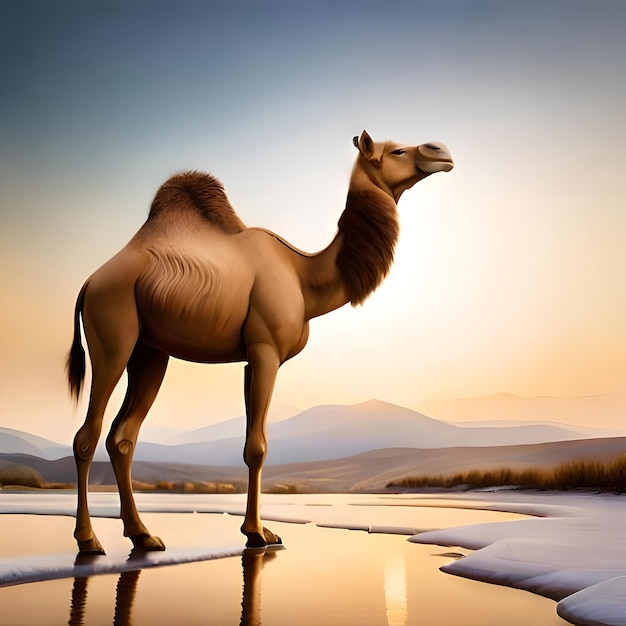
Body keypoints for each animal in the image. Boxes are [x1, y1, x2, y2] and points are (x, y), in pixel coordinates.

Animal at [66, 130, 450, 552]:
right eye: (397, 150)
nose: (441, 152)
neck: (305, 277)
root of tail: (89, 283)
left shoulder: (251, 357)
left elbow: (253, 442)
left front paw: (263, 531)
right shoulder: (266, 350)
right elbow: (257, 447)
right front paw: (256, 533)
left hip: (150, 352)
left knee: (122, 438)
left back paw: (144, 535)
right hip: (113, 334)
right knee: (87, 435)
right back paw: (88, 541)